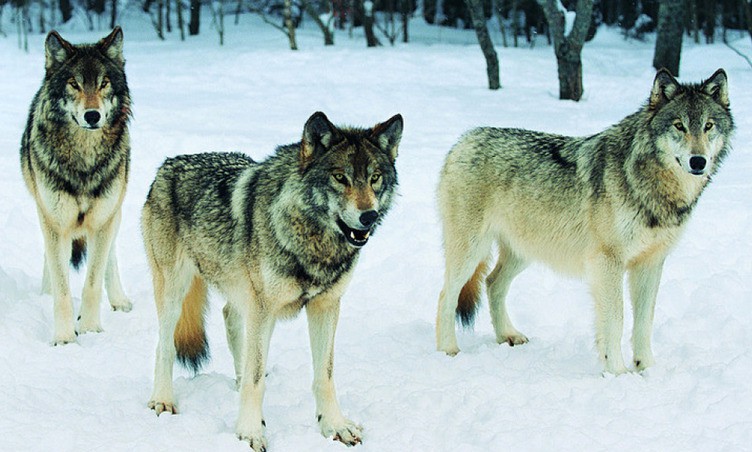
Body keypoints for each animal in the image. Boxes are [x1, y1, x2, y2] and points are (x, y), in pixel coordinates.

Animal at [20, 27, 134, 346]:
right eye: (74, 83)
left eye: (104, 83)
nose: (92, 116)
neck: (84, 158)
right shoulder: (54, 220)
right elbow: (62, 288)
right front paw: (64, 338)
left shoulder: (103, 219)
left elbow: (93, 282)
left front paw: (91, 329)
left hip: (113, 211)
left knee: (110, 256)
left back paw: (119, 300)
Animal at [140, 111, 400, 450]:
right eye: (340, 177)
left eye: (375, 178)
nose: (369, 216)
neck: (313, 241)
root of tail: (168, 164)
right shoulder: (264, 309)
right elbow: (255, 382)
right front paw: (250, 432)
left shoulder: (326, 306)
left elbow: (325, 376)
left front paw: (334, 425)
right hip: (176, 292)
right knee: (165, 344)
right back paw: (162, 399)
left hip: (242, 295)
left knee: (231, 321)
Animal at [434, 68, 736, 374]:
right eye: (679, 126)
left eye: (708, 126)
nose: (698, 161)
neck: (648, 182)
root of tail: (464, 139)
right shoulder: (607, 262)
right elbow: (616, 320)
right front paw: (618, 372)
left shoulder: (651, 263)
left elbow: (644, 322)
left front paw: (647, 369)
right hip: (472, 251)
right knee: (446, 295)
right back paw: (448, 350)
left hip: (526, 251)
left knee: (492, 283)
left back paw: (507, 335)